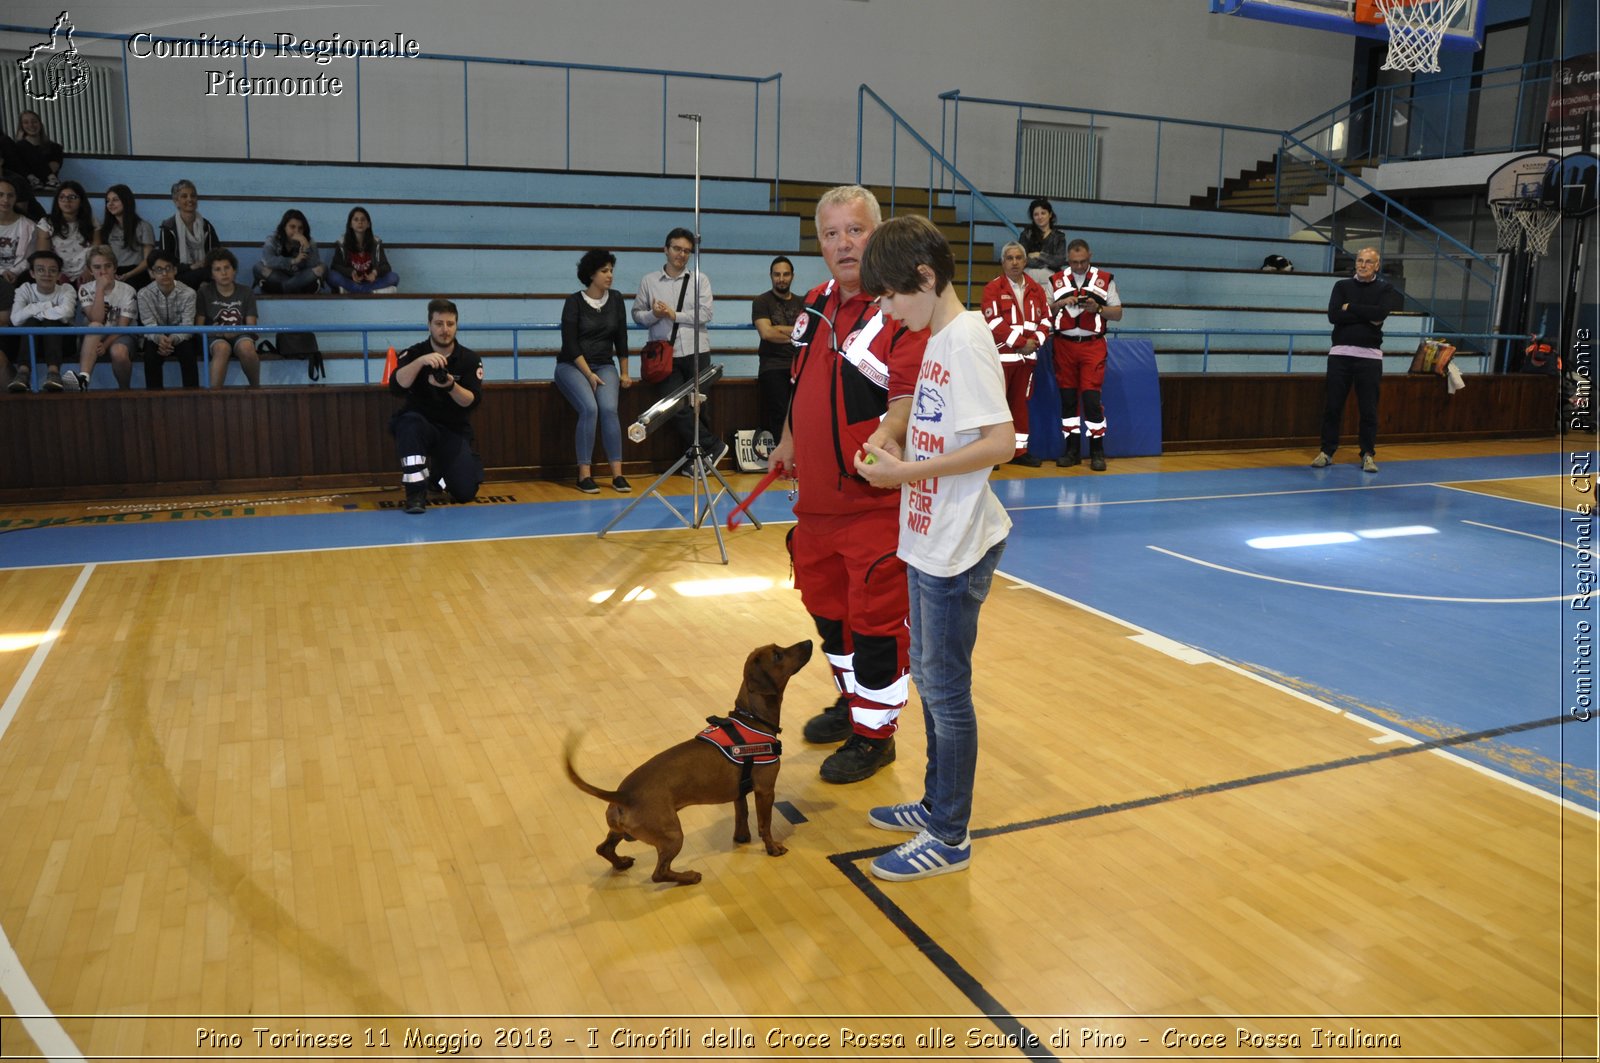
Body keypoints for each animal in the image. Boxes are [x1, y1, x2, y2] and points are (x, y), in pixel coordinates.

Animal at [563, 643, 812, 883]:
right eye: (778, 655)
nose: (809, 642)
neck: (752, 719)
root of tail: (623, 794)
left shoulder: (740, 792)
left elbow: (742, 815)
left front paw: (742, 838)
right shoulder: (765, 790)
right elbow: (764, 824)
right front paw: (772, 848)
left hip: (619, 830)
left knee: (603, 848)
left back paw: (621, 863)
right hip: (673, 835)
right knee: (658, 874)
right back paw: (689, 877)